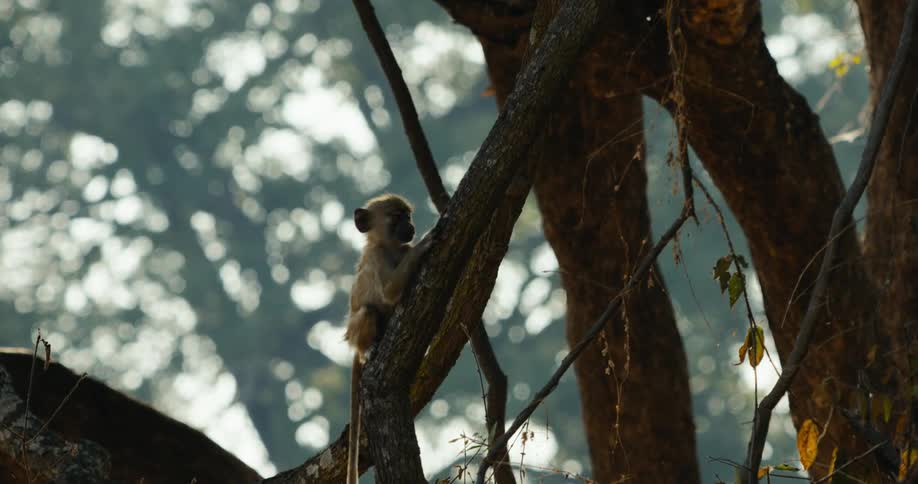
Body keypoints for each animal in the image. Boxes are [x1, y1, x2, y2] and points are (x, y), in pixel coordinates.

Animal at [345, 193, 431, 484]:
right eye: (395, 217)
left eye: (407, 215)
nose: (411, 226)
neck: (388, 247)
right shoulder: (376, 259)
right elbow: (390, 293)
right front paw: (423, 244)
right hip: (356, 333)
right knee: (369, 311)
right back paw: (369, 348)